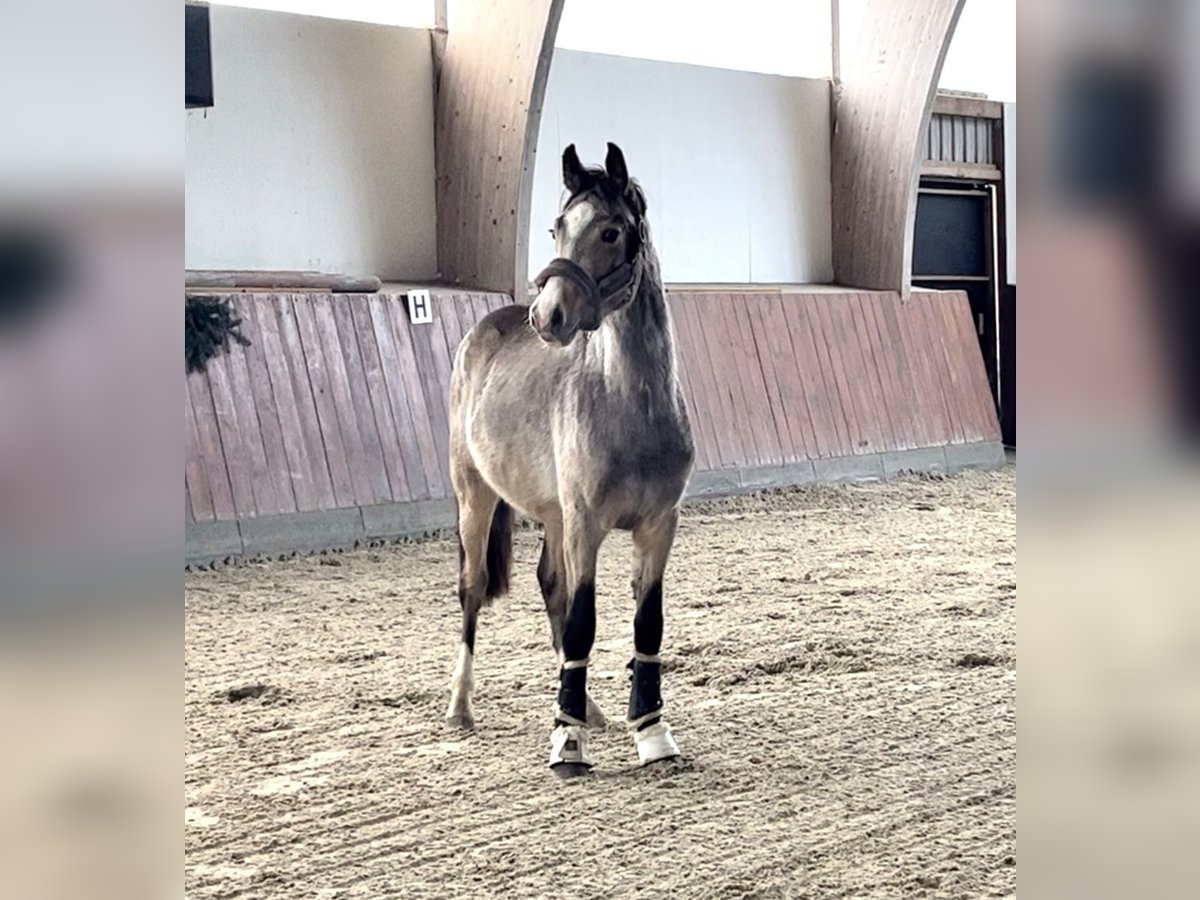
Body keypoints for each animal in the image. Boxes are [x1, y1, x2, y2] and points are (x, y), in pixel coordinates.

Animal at [444, 141, 696, 777]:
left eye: (610, 231)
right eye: (557, 227)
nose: (547, 316)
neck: (631, 405)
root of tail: (488, 327)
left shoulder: (658, 525)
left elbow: (647, 621)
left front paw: (650, 730)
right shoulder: (587, 523)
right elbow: (584, 621)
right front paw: (568, 743)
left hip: (554, 515)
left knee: (550, 584)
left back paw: (589, 709)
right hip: (475, 495)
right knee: (473, 586)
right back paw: (460, 707)